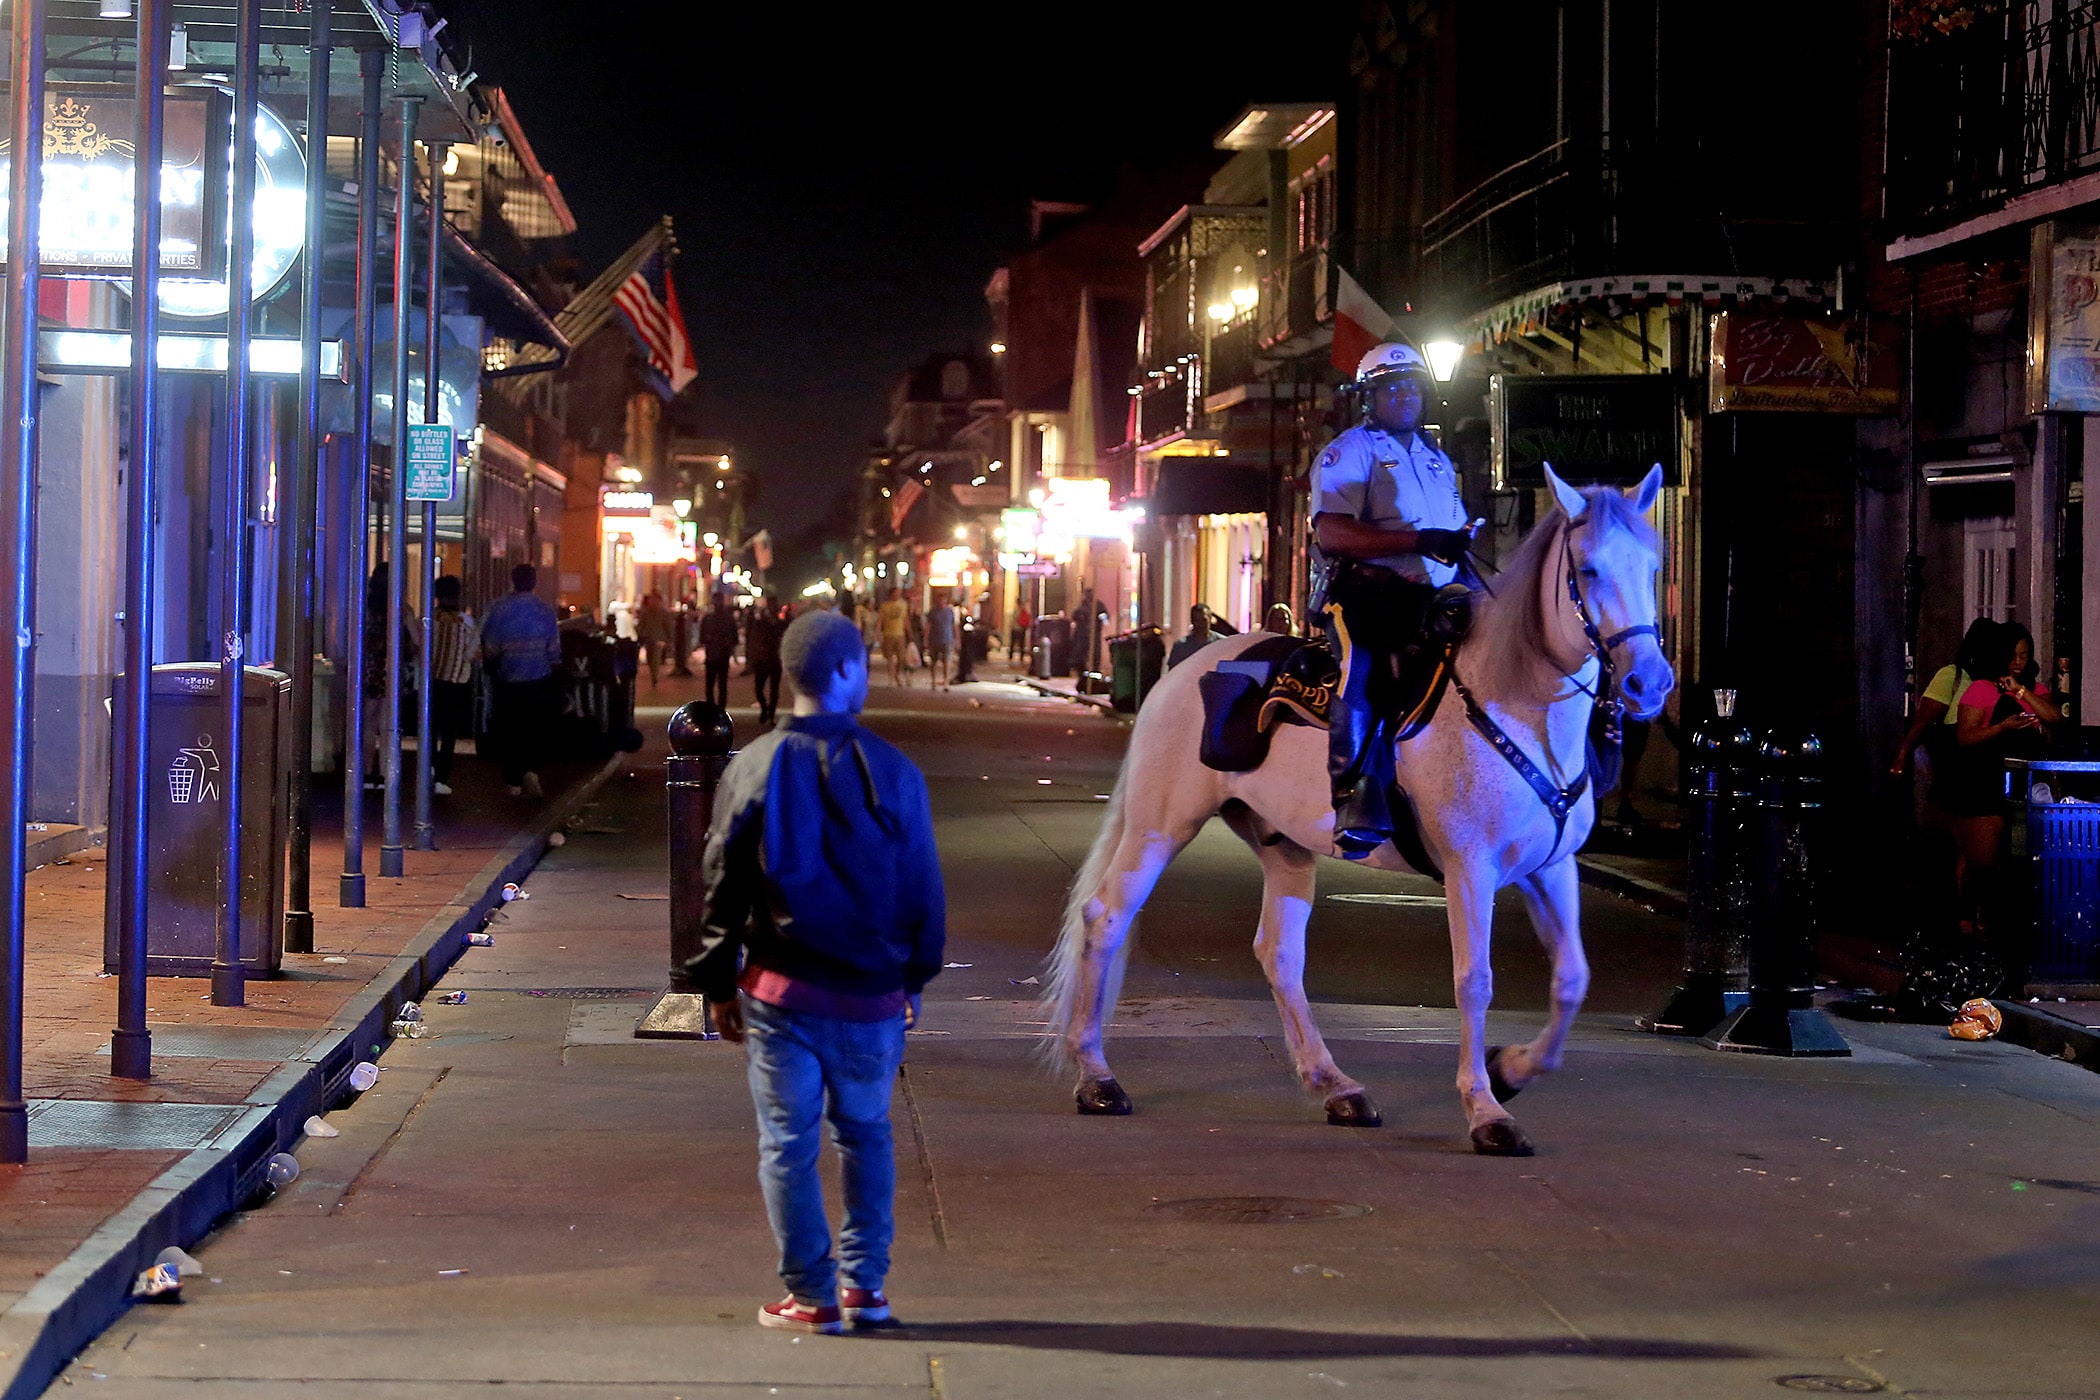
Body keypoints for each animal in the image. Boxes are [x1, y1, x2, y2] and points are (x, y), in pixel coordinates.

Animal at [1045, 465, 1671, 1158]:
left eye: (1652, 566)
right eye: (1586, 570)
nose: (1649, 684)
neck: (1517, 710)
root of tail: (1181, 669)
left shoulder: (1551, 869)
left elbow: (1572, 980)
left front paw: (1511, 1070)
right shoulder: (1470, 869)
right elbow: (1474, 980)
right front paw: (1486, 1111)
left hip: (1283, 843)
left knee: (1279, 954)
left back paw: (1336, 1086)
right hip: (1160, 826)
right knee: (1105, 918)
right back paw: (1096, 1078)